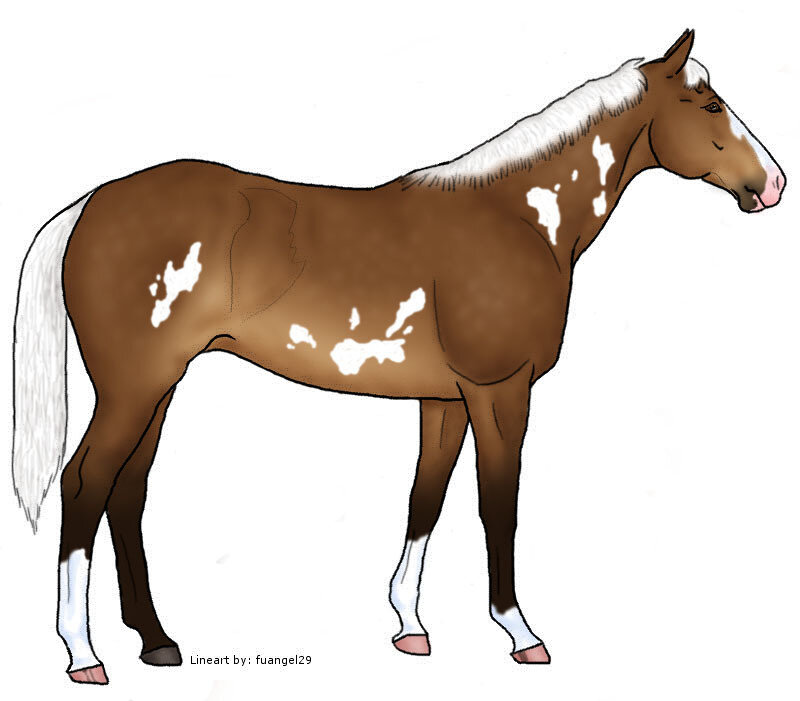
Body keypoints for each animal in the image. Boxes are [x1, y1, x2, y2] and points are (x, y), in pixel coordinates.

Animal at [11, 29, 785, 684]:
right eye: (709, 103)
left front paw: (410, 625)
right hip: (134, 387)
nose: (773, 184)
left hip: (160, 385)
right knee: (84, 483)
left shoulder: (445, 398)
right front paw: (520, 633)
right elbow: (497, 503)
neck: (516, 217)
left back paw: (157, 641)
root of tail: (88, 205)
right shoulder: (501, 391)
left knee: (127, 492)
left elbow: (426, 497)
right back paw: (83, 655)